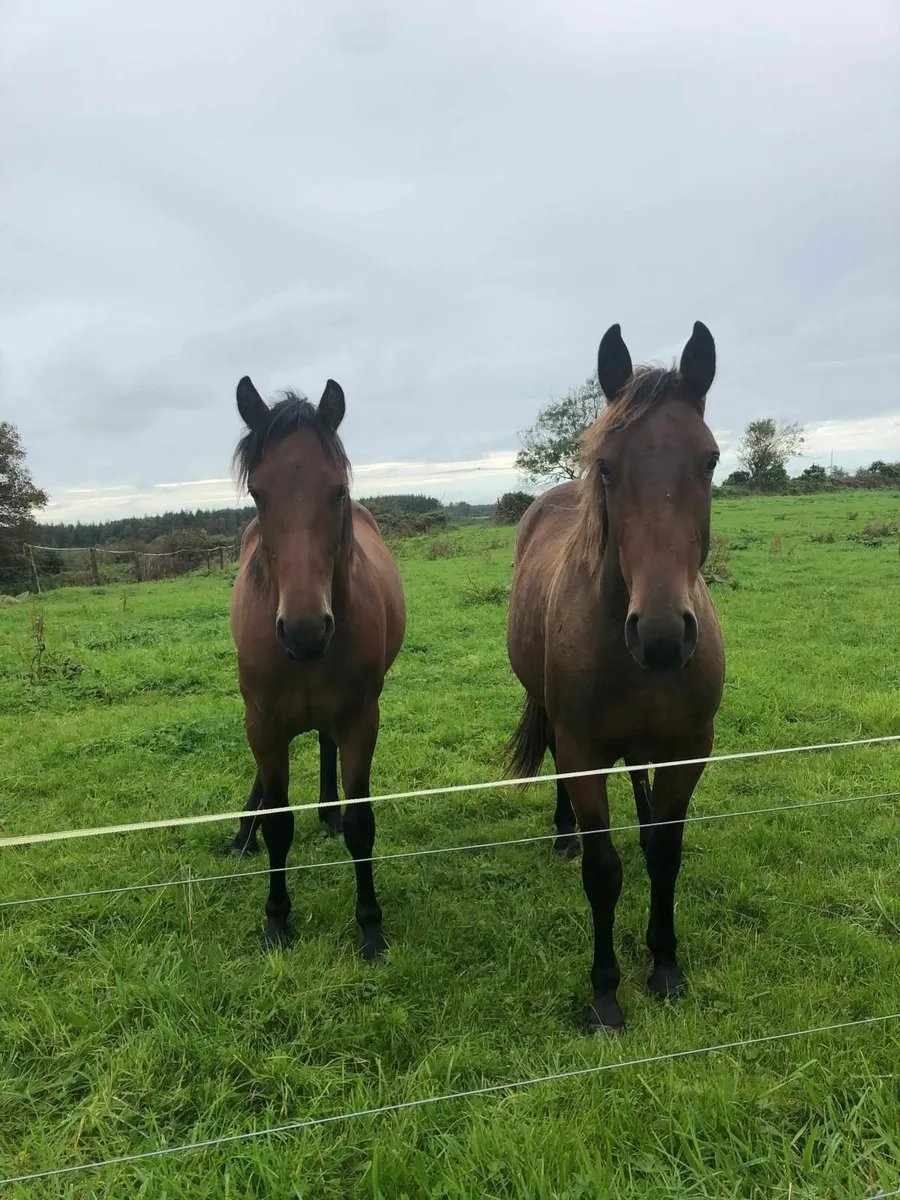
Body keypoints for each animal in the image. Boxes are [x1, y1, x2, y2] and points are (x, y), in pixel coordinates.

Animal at [228, 376, 406, 960]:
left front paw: (370, 926)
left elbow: (361, 822)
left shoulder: (360, 719)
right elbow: (278, 823)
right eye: (258, 494)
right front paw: (276, 921)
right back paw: (242, 833)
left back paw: (326, 811)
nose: (305, 632)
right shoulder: (262, 722)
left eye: (337, 491)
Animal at [507, 321, 725, 1033]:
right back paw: (563, 835)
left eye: (709, 461)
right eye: (606, 465)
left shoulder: (689, 750)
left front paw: (665, 965)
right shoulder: (584, 752)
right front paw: (604, 993)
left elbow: (665, 854)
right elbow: (604, 871)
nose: (660, 635)